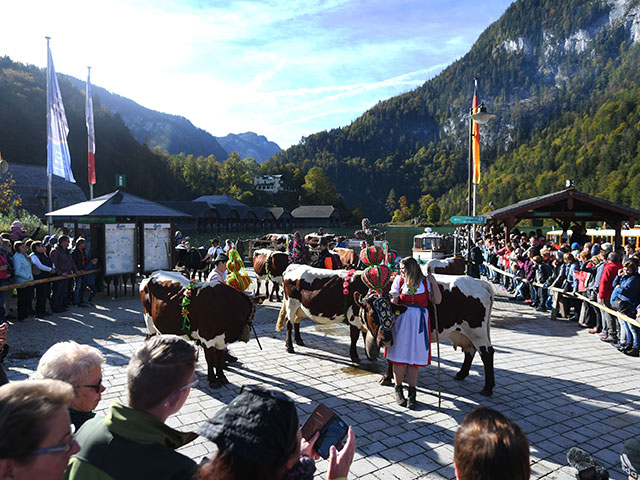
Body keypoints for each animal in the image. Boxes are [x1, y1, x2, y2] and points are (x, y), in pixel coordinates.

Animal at [356, 274, 496, 398]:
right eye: (372, 316)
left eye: (391, 315)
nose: (384, 340)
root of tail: (479, 282)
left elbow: (391, 358)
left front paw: (386, 377)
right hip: (467, 334)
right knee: (470, 350)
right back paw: (461, 374)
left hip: (478, 333)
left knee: (487, 353)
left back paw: (487, 388)